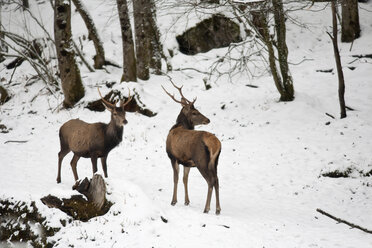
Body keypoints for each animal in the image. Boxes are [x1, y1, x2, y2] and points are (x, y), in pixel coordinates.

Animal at [162, 82, 221, 214]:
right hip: (215, 162)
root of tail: (215, 144)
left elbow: (176, 178)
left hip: (201, 160)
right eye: (194, 112)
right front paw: (186, 201)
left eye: (197, 110)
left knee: (211, 180)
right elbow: (185, 179)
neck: (178, 126)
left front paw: (173, 201)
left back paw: (206, 208)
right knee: (217, 180)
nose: (208, 119)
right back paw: (218, 209)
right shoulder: (186, 162)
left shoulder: (173, 157)